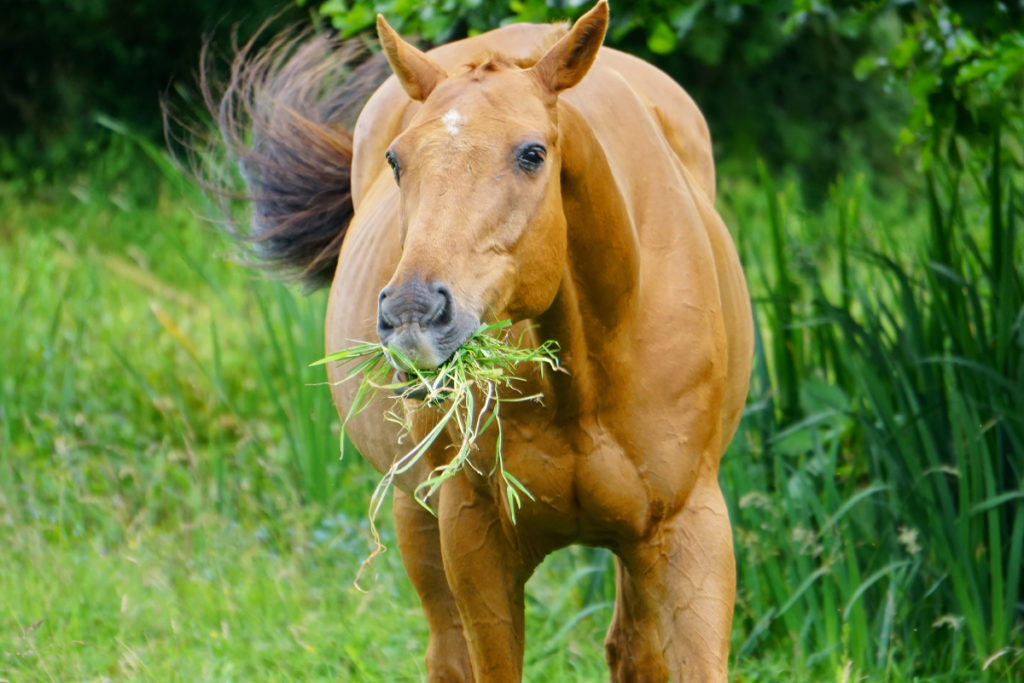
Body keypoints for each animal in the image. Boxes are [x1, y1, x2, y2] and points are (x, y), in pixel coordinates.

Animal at [209, 2, 752, 679]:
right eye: (397, 160)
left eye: (532, 153)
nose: (414, 313)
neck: (588, 374)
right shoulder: (475, 538)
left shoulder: (688, 532)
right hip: (416, 515)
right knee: (446, 651)